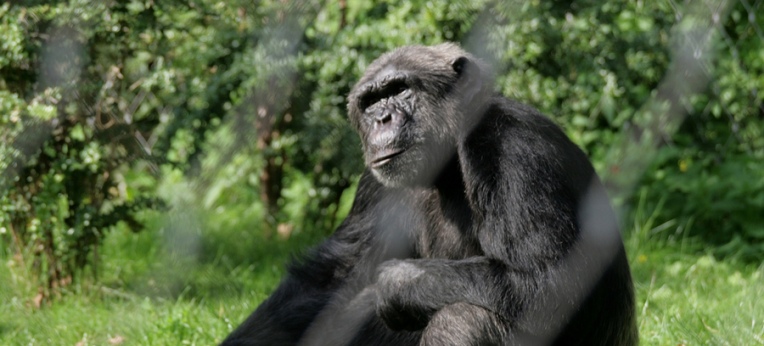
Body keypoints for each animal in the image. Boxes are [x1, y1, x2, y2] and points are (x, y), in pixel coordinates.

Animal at [222, 43, 640, 346]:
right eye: (371, 102)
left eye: (400, 89)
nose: (382, 119)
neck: (448, 168)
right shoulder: (372, 183)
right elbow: (330, 278)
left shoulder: (513, 149)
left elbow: (548, 281)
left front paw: (394, 282)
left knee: (464, 319)